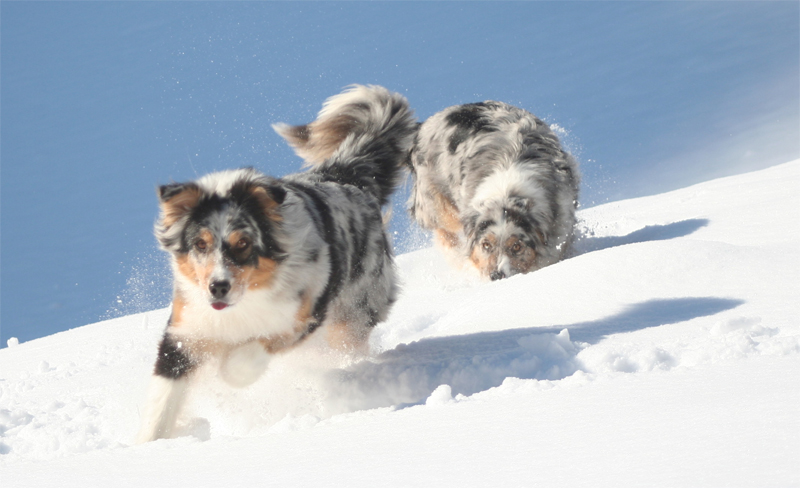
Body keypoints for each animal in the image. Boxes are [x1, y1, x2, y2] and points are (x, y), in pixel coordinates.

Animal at [137, 85, 416, 442]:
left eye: (243, 244)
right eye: (200, 244)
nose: (217, 288)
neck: (244, 301)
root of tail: (343, 176)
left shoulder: (300, 317)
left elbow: (249, 355)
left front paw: (229, 371)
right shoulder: (187, 331)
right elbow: (162, 402)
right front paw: (145, 446)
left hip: (354, 311)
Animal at [410, 101, 580, 280]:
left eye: (517, 246)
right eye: (486, 245)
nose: (496, 275)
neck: (507, 191)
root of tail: (422, 126)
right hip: (436, 203)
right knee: (444, 233)